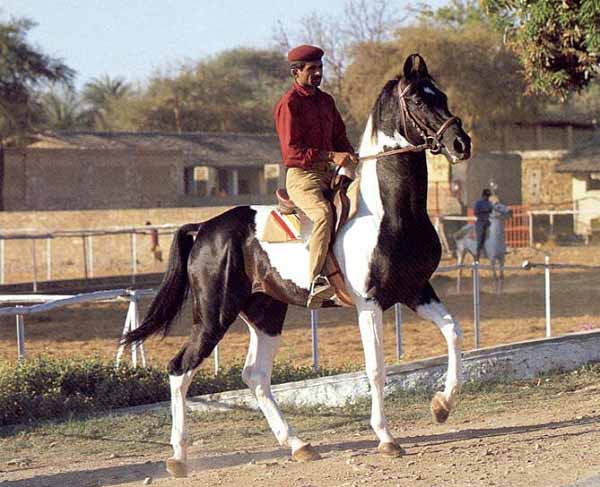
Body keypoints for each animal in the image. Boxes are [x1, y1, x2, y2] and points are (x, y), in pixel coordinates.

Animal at [124, 54, 472, 480]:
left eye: (442, 95)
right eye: (419, 100)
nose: (461, 144)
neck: (389, 214)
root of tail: (205, 228)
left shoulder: (417, 291)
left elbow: (454, 333)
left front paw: (442, 405)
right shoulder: (369, 304)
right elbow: (376, 368)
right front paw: (387, 438)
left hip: (266, 313)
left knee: (255, 376)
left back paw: (298, 445)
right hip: (212, 315)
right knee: (179, 369)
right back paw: (178, 456)